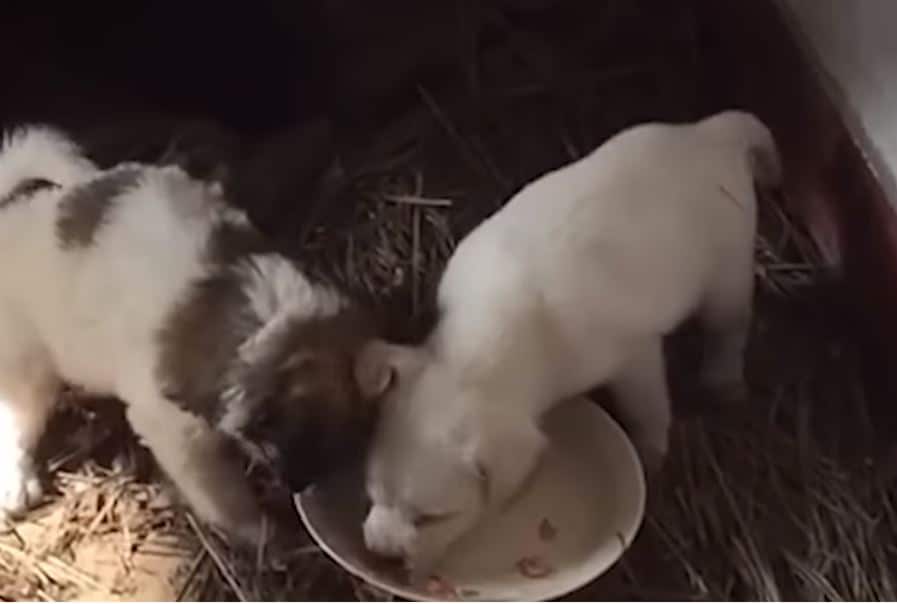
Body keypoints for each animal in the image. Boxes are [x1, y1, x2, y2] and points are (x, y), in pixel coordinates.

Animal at [0, 125, 396, 544]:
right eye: (302, 435)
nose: (300, 486)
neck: (262, 324)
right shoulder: (177, 433)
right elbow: (223, 495)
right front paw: (260, 531)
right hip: (24, 367)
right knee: (15, 423)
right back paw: (16, 486)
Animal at [360, 112, 780, 572]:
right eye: (372, 493)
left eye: (431, 518)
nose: (380, 558)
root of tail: (712, 134)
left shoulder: (635, 358)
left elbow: (648, 407)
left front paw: (650, 453)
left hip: (728, 273)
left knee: (729, 330)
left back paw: (724, 382)